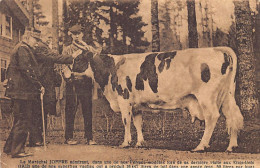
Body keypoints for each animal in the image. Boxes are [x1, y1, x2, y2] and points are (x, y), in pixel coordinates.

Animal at [70, 46, 243, 152]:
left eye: (77, 60)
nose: (69, 75)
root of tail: (217, 49)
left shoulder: (124, 98)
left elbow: (126, 122)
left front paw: (125, 142)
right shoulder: (136, 105)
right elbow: (137, 122)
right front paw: (140, 143)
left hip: (207, 96)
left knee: (212, 117)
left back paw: (201, 146)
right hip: (226, 96)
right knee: (232, 116)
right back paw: (231, 146)